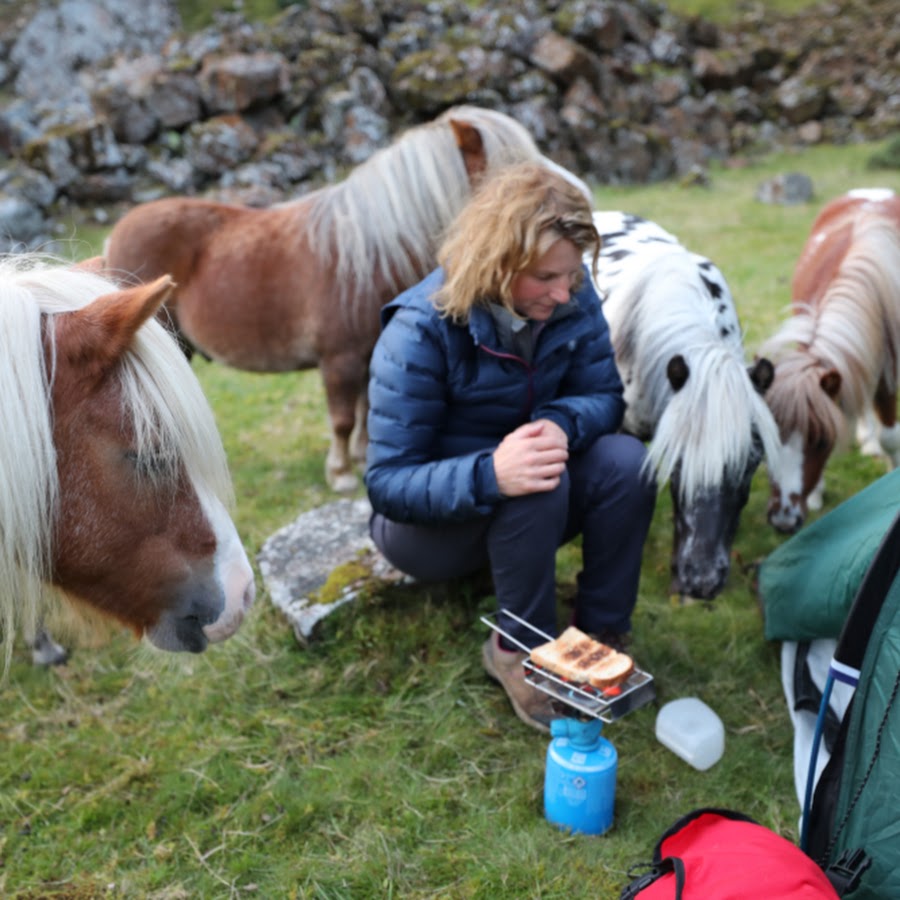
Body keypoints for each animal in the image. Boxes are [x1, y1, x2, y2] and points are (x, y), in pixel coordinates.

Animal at [103, 110, 592, 500]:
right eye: (514, 164)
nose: (582, 197)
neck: (372, 252)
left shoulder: (372, 352)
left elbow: (365, 409)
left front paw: (359, 458)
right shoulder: (338, 359)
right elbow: (341, 417)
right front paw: (340, 474)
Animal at [760, 186, 900, 532]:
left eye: (822, 442)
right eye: (767, 441)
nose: (784, 520)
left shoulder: (887, 374)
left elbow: (891, 436)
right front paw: (815, 494)